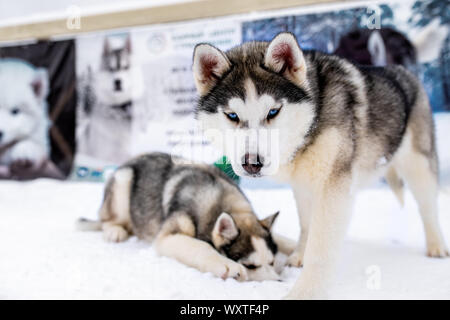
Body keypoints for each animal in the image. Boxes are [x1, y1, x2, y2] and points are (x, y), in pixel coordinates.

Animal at [75, 152, 284, 280]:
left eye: (272, 262)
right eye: (250, 266)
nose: (278, 282)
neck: (220, 197)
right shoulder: (168, 235)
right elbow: (200, 246)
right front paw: (225, 265)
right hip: (123, 181)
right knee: (107, 220)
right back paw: (114, 231)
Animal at [192, 31, 448, 298]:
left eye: (273, 111)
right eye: (232, 115)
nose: (253, 163)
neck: (311, 122)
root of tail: (400, 69)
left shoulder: (333, 187)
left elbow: (321, 245)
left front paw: (306, 291)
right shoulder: (303, 185)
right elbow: (307, 225)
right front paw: (299, 256)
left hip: (418, 164)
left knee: (428, 206)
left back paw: (436, 245)